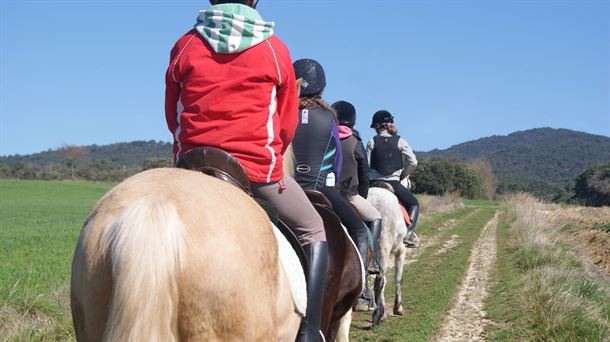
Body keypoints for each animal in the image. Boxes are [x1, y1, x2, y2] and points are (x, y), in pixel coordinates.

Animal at [364, 187, 406, 326]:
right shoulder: (401, 250)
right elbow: (398, 278)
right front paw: (398, 308)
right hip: (384, 246)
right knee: (379, 280)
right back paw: (377, 317)